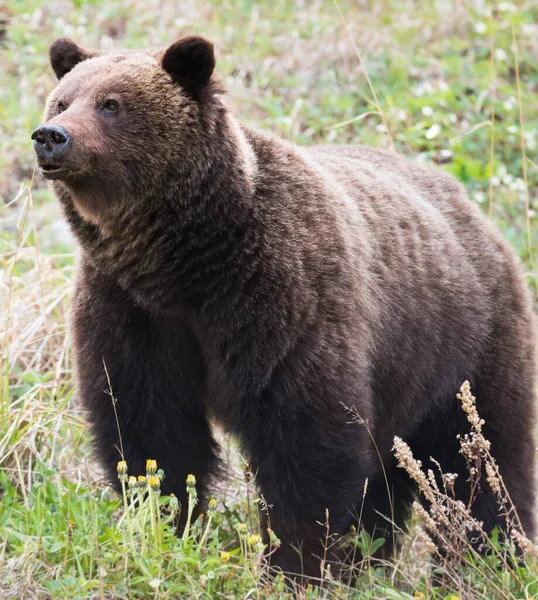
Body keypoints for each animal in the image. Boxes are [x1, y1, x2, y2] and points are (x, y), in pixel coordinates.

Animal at [32, 36, 532, 576]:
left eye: (112, 104)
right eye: (62, 100)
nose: (51, 137)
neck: (183, 267)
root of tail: (474, 210)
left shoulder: (282, 296)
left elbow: (304, 440)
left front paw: (295, 561)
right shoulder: (131, 310)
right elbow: (150, 430)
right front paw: (168, 524)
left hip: (467, 343)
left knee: (483, 458)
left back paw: (493, 555)